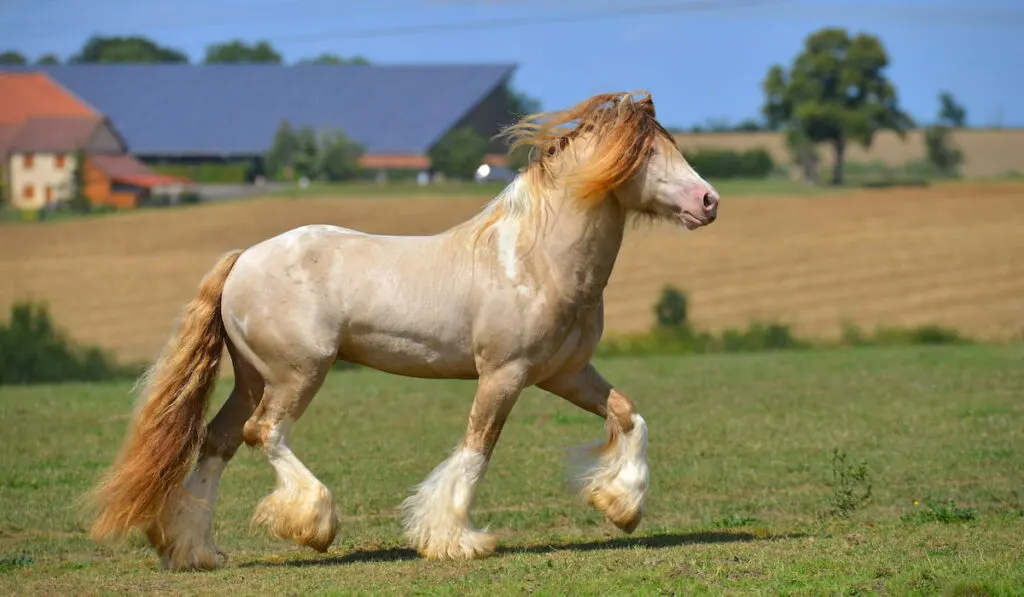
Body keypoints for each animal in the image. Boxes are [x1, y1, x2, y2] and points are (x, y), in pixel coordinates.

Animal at [83, 91, 720, 573]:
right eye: (646, 152)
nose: (709, 201)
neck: (534, 261)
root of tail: (243, 260)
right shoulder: (504, 375)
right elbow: (477, 450)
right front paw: (454, 540)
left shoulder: (564, 374)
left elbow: (629, 416)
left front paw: (621, 505)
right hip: (297, 373)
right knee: (264, 433)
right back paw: (314, 524)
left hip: (251, 377)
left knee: (217, 441)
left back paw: (196, 550)